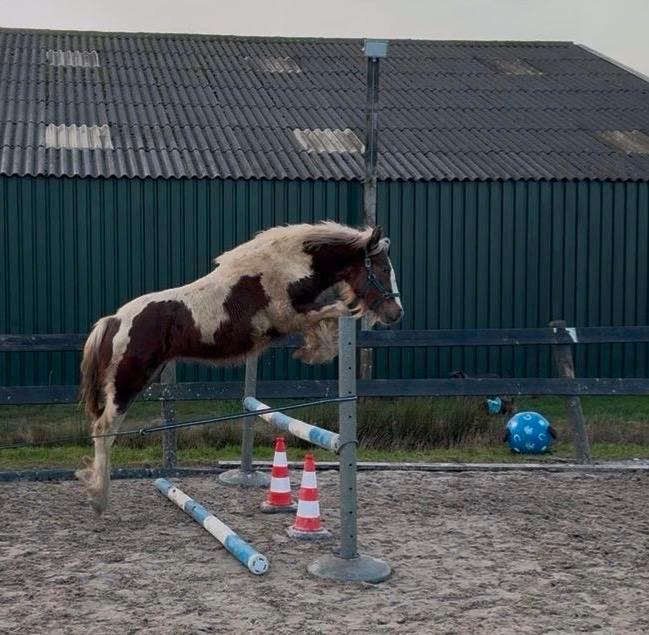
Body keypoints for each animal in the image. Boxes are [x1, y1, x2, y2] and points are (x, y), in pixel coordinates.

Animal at [76, 221, 403, 513]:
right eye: (384, 270)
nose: (396, 313)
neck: (289, 264)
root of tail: (114, 320)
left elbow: (327, 320)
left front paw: (313, 350)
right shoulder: (287, 316)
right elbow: (337, 311)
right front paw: (316, 350)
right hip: (128, 381)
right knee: (104, 429)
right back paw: (99, 498)